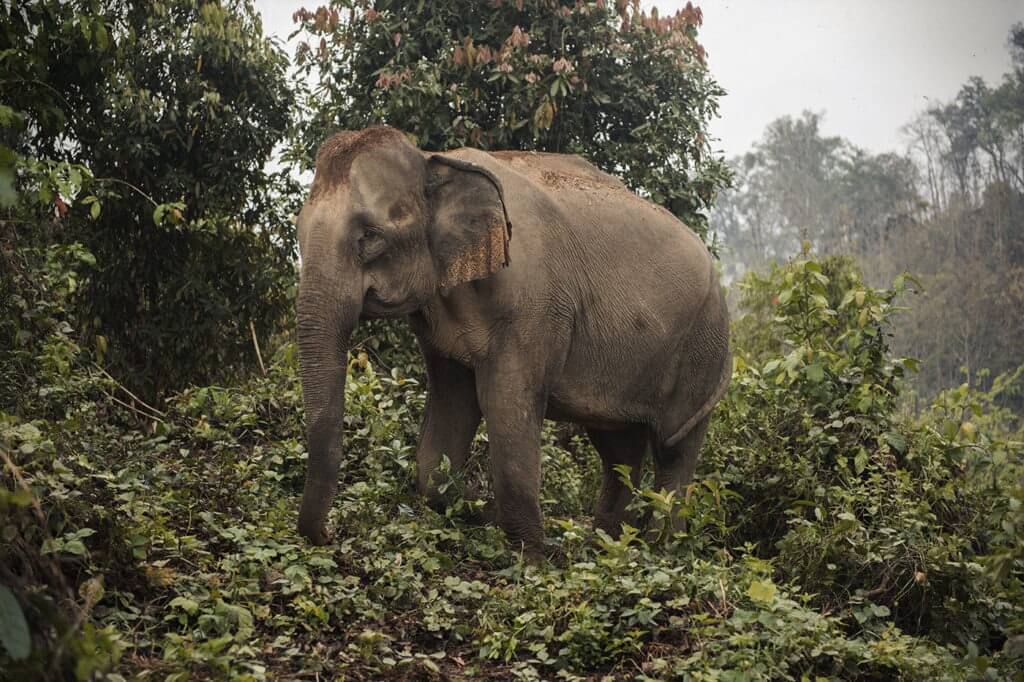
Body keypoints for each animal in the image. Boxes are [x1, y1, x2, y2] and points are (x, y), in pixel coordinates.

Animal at [295, 125, 732, 554]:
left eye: (370, 236)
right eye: (297, 235)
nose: (329, 535)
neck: (434, 159)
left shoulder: (534, 305)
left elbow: (506, 404)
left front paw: (534, 555)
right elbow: (452, 407)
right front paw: (475, 509)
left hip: (703, 344)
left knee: (675, 447)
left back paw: (663, 549)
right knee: (618, 447)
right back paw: (608, 546)